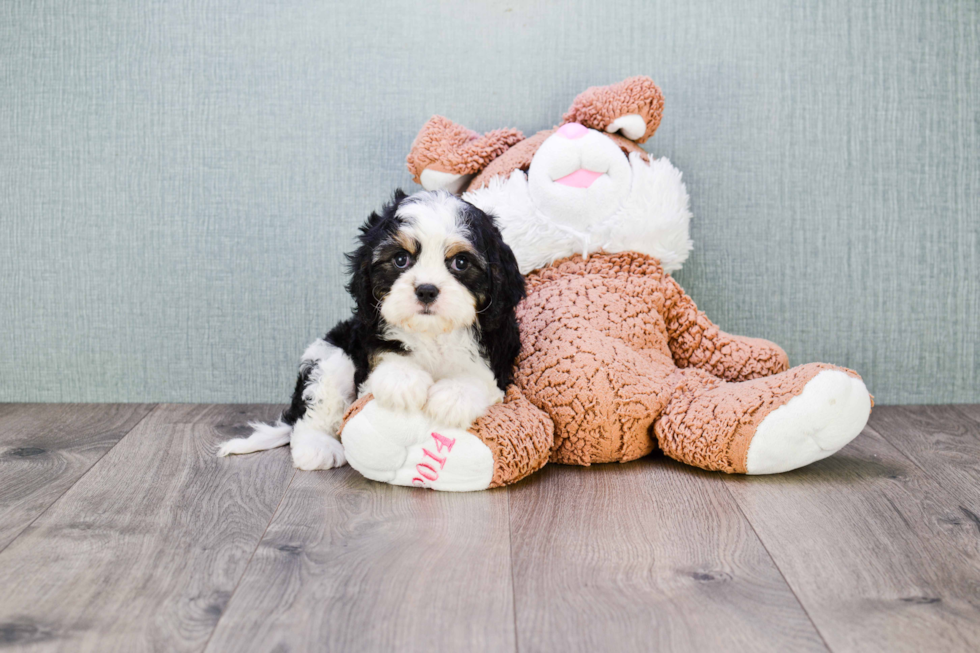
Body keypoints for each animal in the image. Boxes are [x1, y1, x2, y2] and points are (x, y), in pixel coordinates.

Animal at [217, 188, 524, 468]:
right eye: (400, 259)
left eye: (460, 262)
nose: (426, 290)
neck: (432, 333)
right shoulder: (367, 335)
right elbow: (385, 354)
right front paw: (402, 381)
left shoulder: (499, 350)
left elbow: (480, 375)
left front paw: (453, 396)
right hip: (331, 355)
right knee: (313, 410)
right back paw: (317, 447)